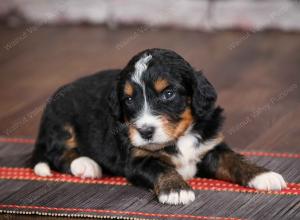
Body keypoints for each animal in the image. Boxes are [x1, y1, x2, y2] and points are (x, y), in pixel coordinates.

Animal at [32, 48, 286, 205]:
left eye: (168, 94)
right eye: (129, 99)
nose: (145, 132)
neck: (179, 137)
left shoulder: (211, 146)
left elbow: (233, 160)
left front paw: (263, 175)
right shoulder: (136, 160)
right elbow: (161, 168)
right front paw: (176, 189)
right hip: (61, 120)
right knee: (56, 153)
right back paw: (86, 164)